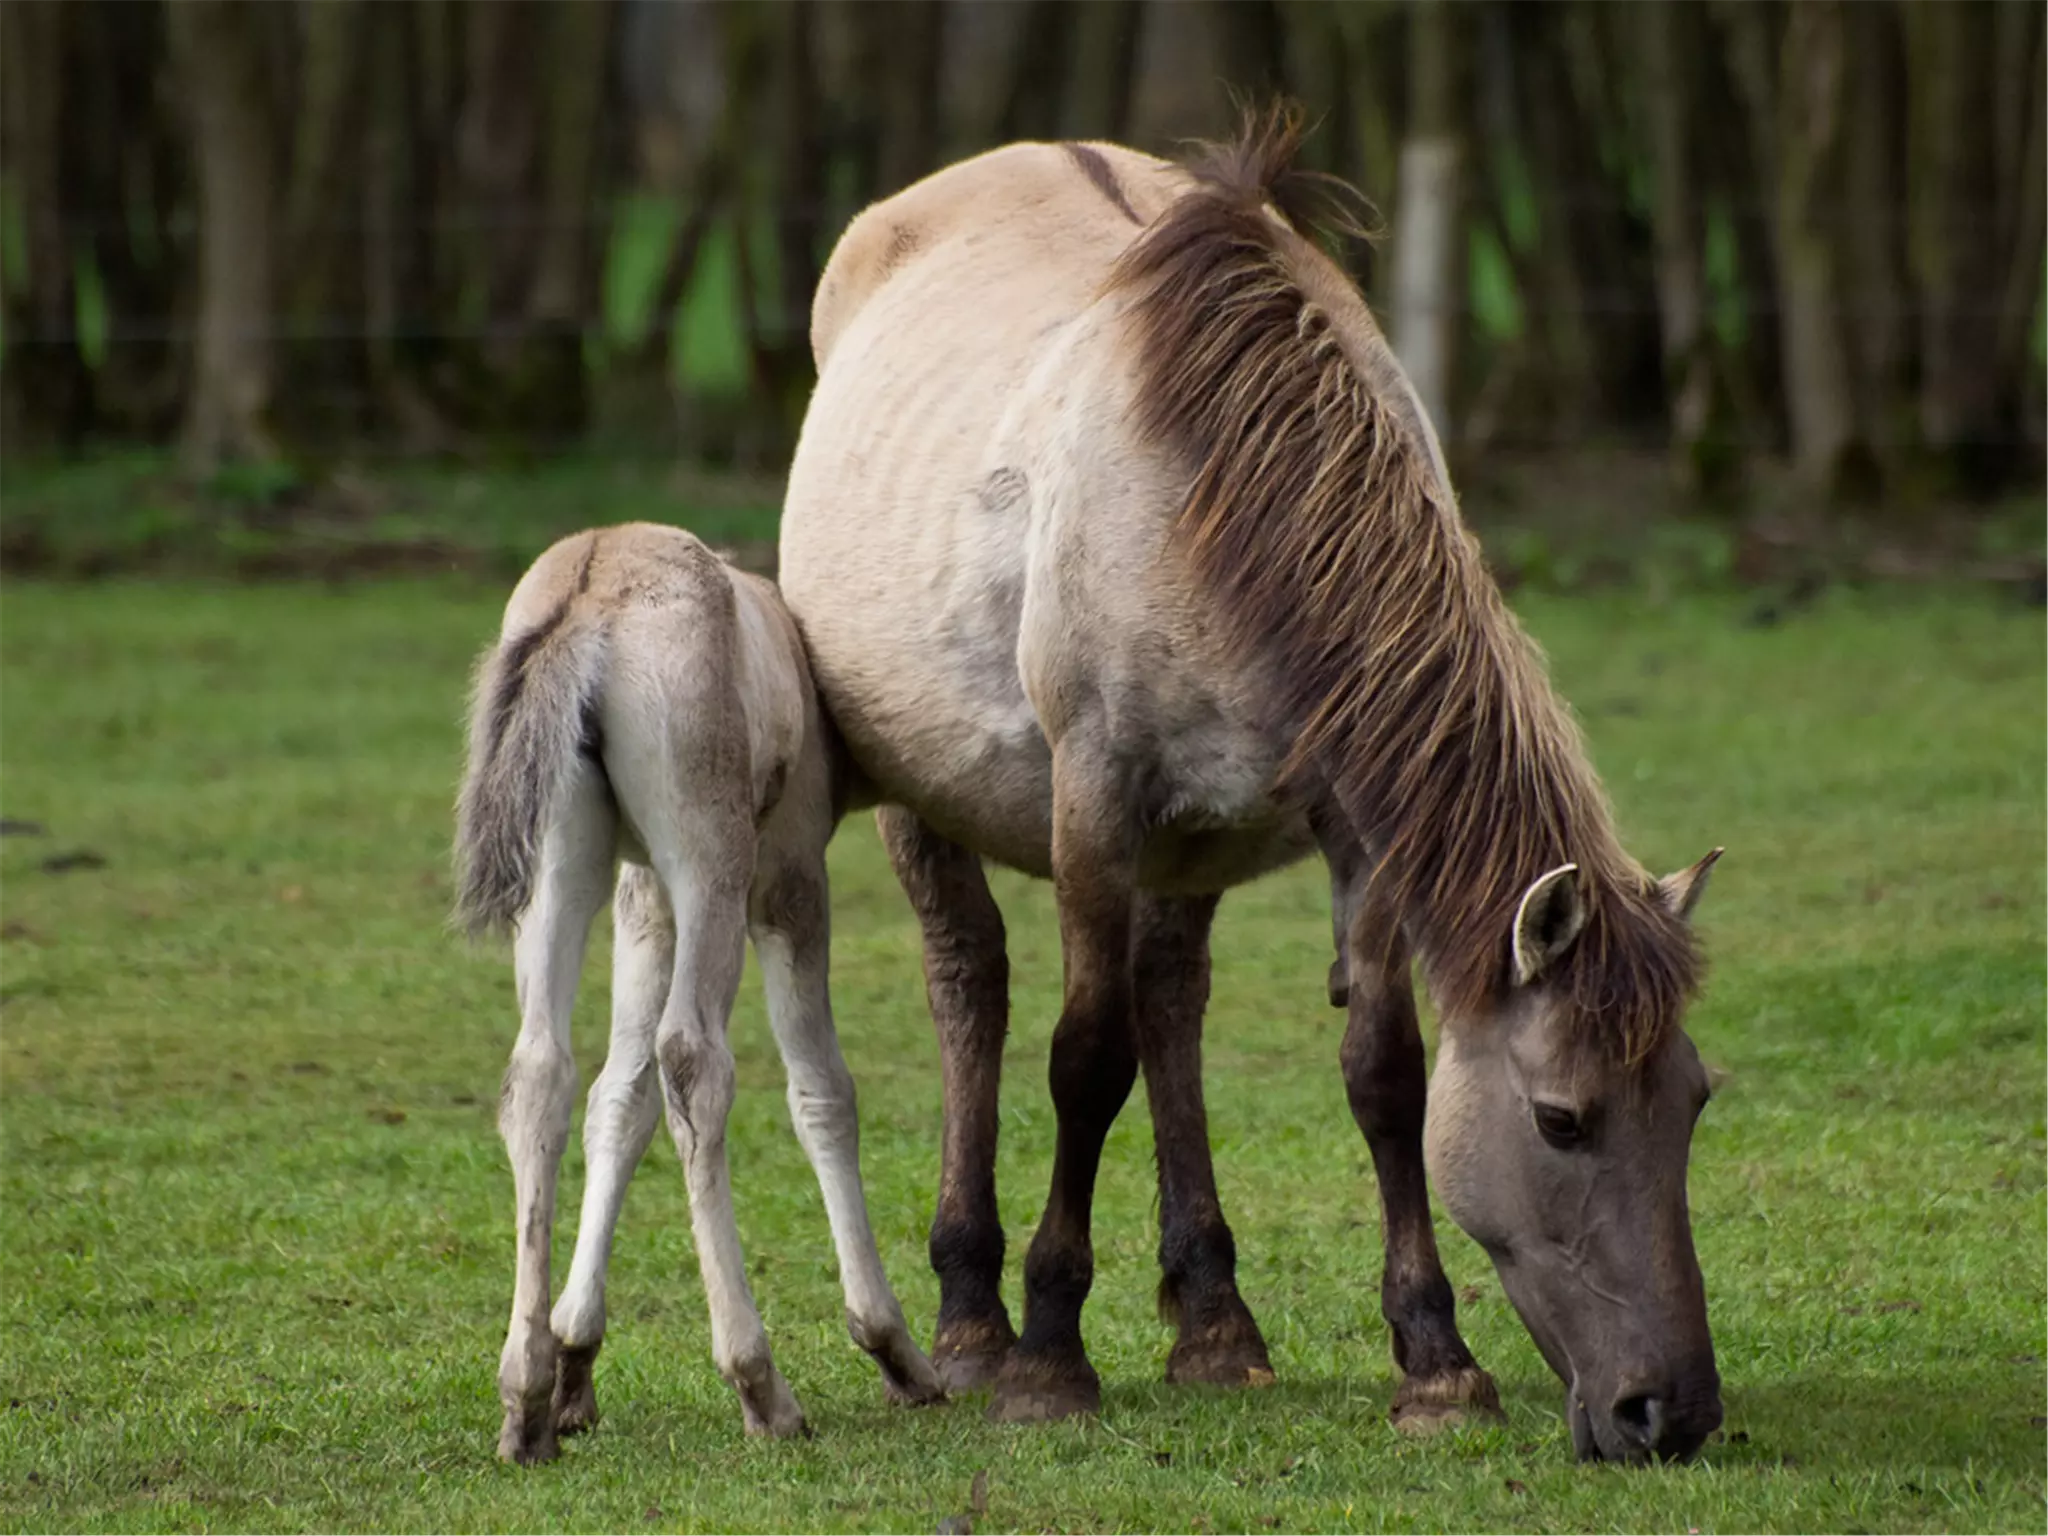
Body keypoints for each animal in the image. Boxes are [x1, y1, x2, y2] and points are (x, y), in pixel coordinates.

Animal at [452, 520, 937, 1466]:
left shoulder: (643, 895)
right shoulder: (788, 880)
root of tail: (589, 589)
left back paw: (525, 1401)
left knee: (542, 1071)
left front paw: (576, 1358)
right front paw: (894, 1347)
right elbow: (821, 1090)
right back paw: (762, 1384)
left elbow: (620, 1096)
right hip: (712, 860)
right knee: (694, 1060)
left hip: (561, 864)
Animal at [782, 111, 1728, 1466]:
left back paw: (1214, 1322)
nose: (1669, 1413)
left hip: (1192, 847)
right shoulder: (1092, 807)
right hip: (927, 795)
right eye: (1559, 1119)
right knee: (973, 987)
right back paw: (969, 1321)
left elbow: (1381, 1072)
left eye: (1693, 1101)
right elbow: (1084, 1060)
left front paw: (1435, 1361)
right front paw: (1048, 1356)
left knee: (1171, 1000)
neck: (1219, 484)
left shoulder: (1355, 834)